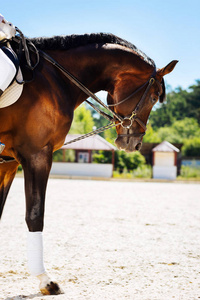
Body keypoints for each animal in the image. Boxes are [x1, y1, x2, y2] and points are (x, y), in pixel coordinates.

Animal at [0, 31, 178, 294]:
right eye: (154, 97)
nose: (135, 144)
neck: (54, 79)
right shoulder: (37, 155)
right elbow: (35, 214)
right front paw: (45, 280)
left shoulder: (8, 163)